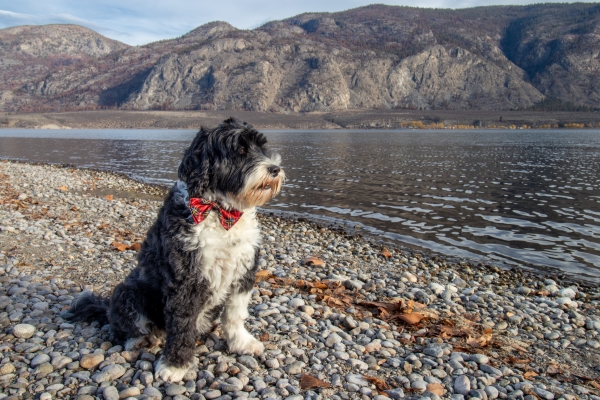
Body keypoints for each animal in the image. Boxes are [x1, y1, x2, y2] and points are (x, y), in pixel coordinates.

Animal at [64, 118, 284, 382]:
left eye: (261, 147)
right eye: (240, 150)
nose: (275, 169)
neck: (219, 211)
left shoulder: (243, 272)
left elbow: (234, 315)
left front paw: (242, 343)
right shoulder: (185, 280)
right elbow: (181, 326)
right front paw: (175, 365)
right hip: (128, 292)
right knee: (126, 328)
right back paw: (143, 340)